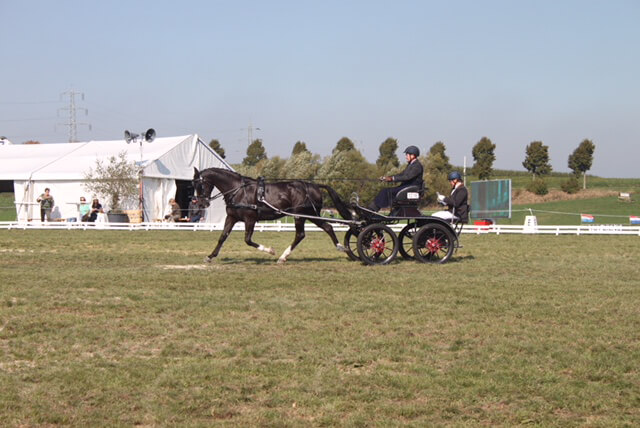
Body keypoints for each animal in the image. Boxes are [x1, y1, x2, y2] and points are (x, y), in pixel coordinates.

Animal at [195, 168, 356, 262]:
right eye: (193, 184)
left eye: (199, 184)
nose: (201, 204)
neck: (238, 190)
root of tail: (314, 186)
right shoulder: (232, 218)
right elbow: (222, 237)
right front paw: (210, 256)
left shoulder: (250, 219)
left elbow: (247, 240)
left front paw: (270, 251)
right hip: (310, 215)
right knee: (327, 227)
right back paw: (341, 247)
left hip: (300, 216)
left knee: (301, 234)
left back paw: (283, 257)